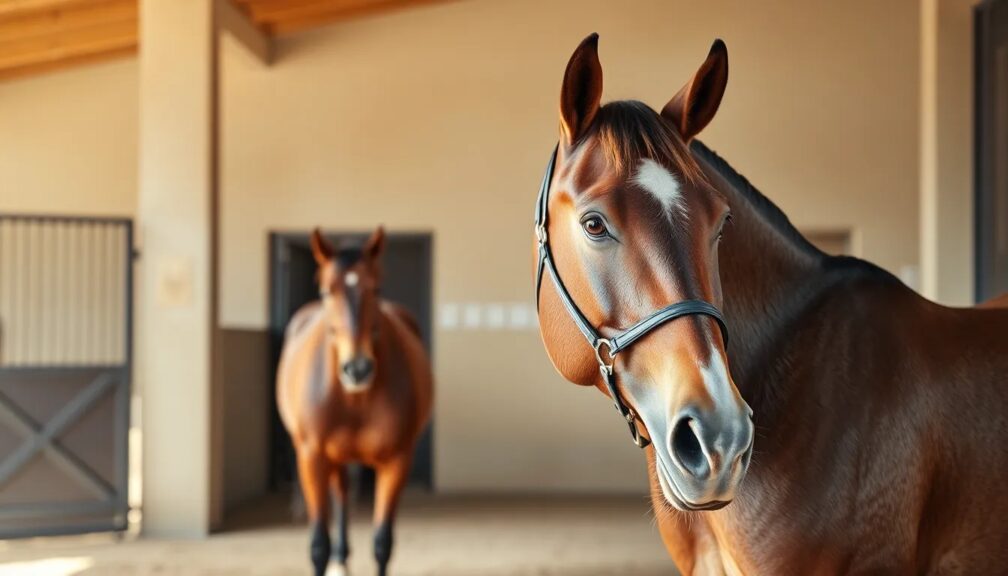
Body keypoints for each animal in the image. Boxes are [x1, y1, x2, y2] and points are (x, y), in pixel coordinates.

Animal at [277, 227, 433, 576]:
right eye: (325, 291)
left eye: (376, 288)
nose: (357, 368)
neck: (354, 399)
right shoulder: (312, 458)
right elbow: (318, 545)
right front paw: (330, 555)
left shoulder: (396, 461)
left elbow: (382, 543)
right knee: (342, 494)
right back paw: (340, 558)